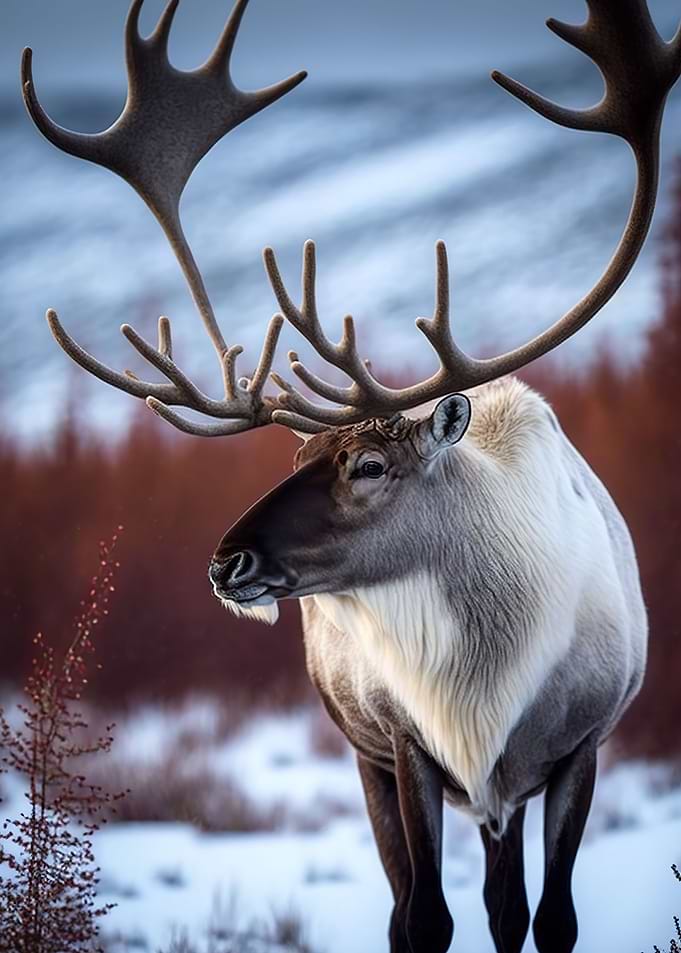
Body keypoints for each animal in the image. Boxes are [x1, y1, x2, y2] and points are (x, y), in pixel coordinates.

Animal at [21, 0, 681, 950]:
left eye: (369, 464)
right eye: (295, 458)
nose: (226, 561)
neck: (491, 673)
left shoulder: (582, 745)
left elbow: (550, 918)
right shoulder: (403, 746)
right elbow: (425, 918)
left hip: (503, 789)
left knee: (506, 904)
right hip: (368, 753)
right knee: (418, 905)